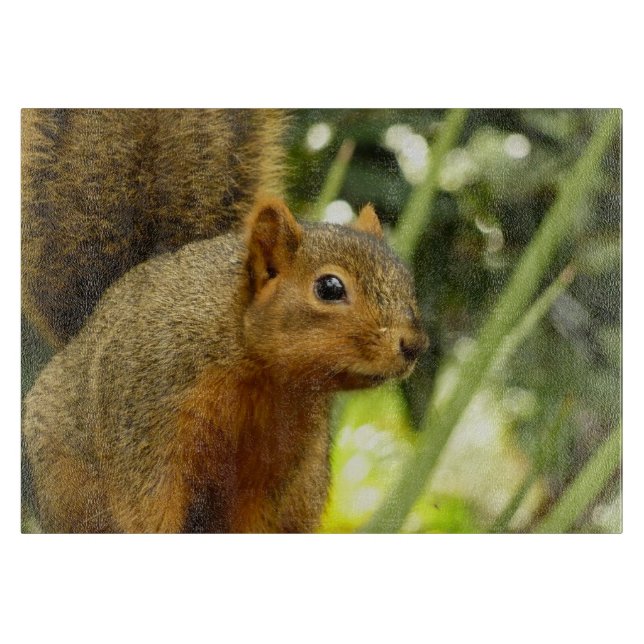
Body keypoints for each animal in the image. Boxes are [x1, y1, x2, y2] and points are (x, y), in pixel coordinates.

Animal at [21, 109, 429, 533]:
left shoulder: (278, 465)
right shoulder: (146, 420)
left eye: (406, 279)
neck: (258, 373)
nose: (415, 345)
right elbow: (147, 505)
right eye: (329, 287)